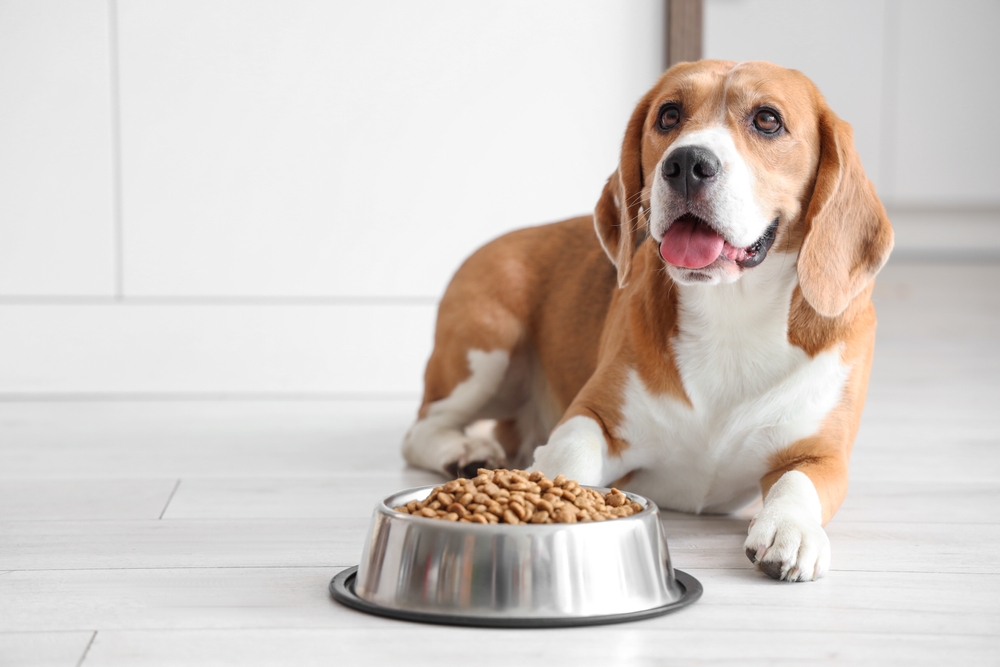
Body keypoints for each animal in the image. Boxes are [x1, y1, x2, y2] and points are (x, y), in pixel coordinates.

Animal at [402, 62, 896, 580]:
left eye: (767, 120)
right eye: (669, 115)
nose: (687, 163)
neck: (730, 313)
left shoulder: (824, 454)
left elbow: (797, 482)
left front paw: (790, 528)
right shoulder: (593, 416)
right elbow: (569, 454)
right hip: (487, 351)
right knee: (422, 429)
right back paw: (462, 451)